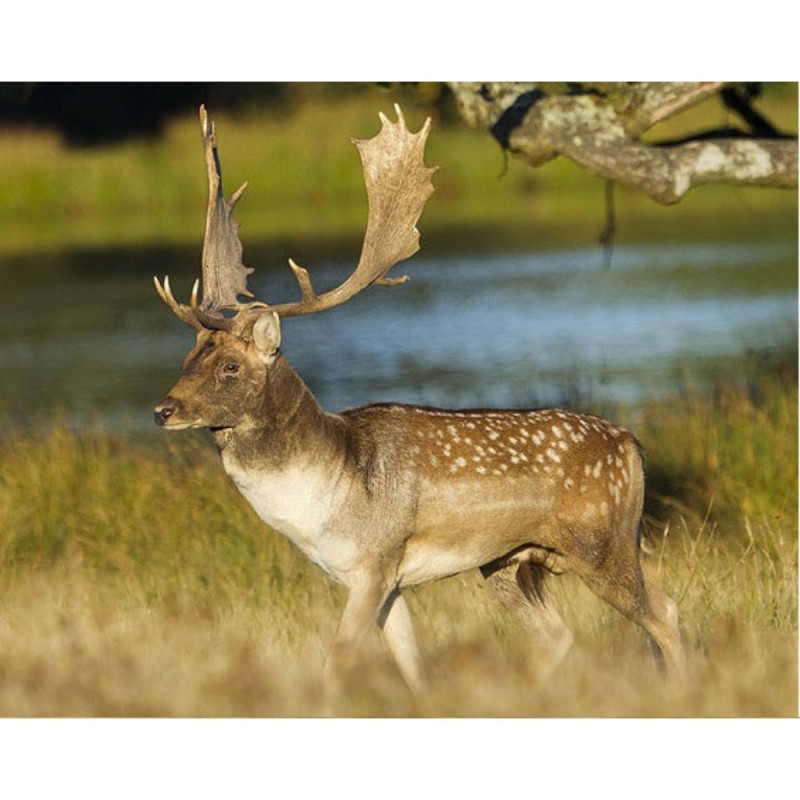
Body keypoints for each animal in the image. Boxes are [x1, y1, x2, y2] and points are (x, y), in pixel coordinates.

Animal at [153, 104, 684, 692]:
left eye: (230, 365)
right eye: (187, 358)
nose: (163, 410)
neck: (326, 500)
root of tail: (633, 446)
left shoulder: (375, 562)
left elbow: (337, 661)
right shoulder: (384, 580)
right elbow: (411, 662)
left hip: (602, 542)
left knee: (664, 611)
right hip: (507, 563)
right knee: (560, 634)